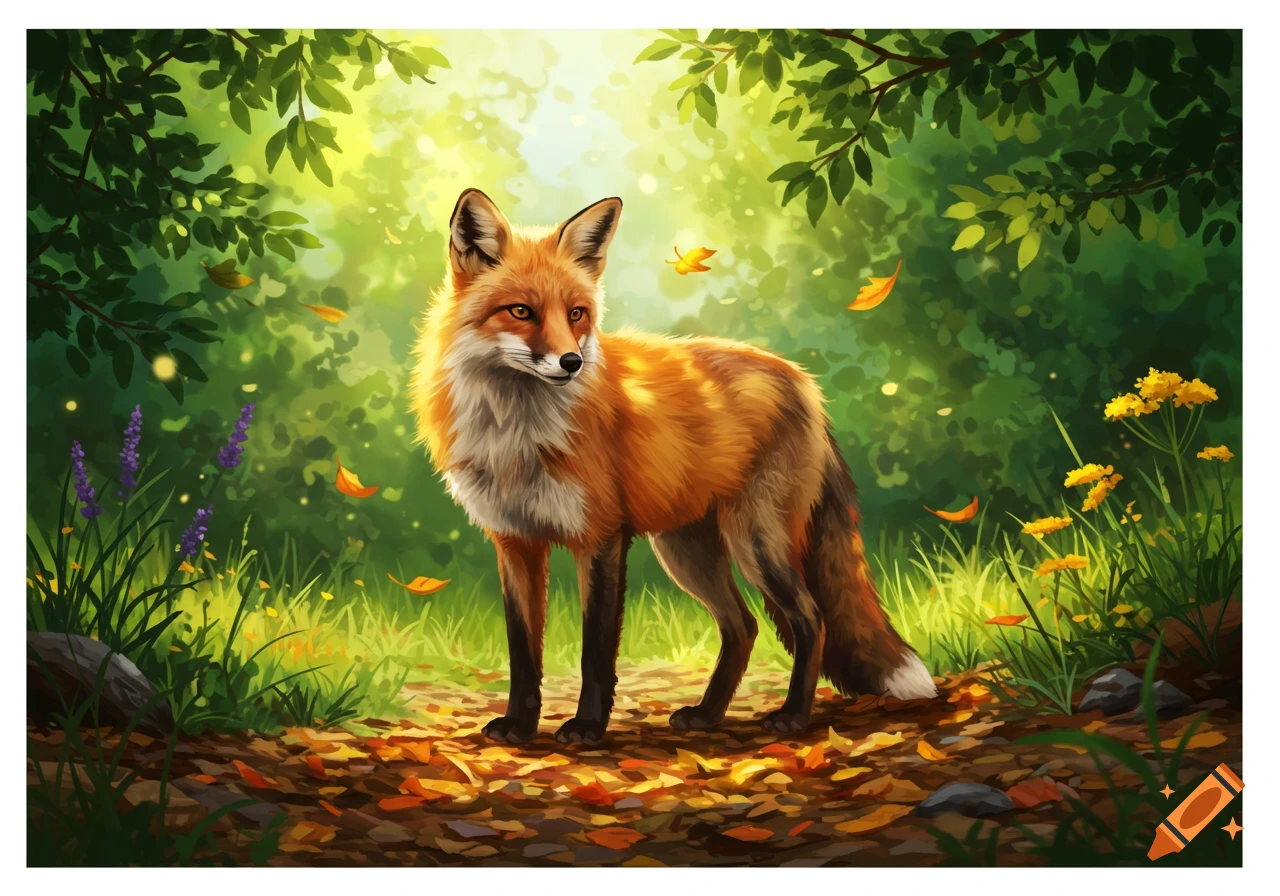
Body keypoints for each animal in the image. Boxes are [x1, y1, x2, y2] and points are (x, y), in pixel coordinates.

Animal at [410, 188, 936, 746]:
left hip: (755, 541)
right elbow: (523, 653)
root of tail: (803, 382)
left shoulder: (600, 536)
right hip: (687, 551)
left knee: (810, 619)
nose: (573, 362)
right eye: (521, 311)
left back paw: (792, 717)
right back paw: (707, 715)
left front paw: (588, 726)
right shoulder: (516, 542)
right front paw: (519, 725)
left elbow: (595, 650)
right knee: (744, 626)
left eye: (576, 313)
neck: (516, 433)